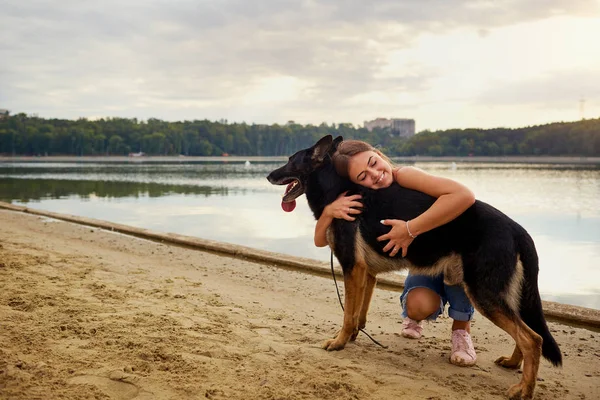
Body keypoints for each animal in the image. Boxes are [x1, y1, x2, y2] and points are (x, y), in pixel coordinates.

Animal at [268, 135, 564, 400]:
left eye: (290, 161)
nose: (269, 175)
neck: (337, 190)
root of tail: (517, 229)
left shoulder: (352, 268)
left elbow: (348, 314)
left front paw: (339, 342)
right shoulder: (366, 274)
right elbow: (358, 313)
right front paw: (351, 337)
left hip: (483, 293)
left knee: (533, 339)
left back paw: (524, 390)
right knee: (528, 334)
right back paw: (514, 365)